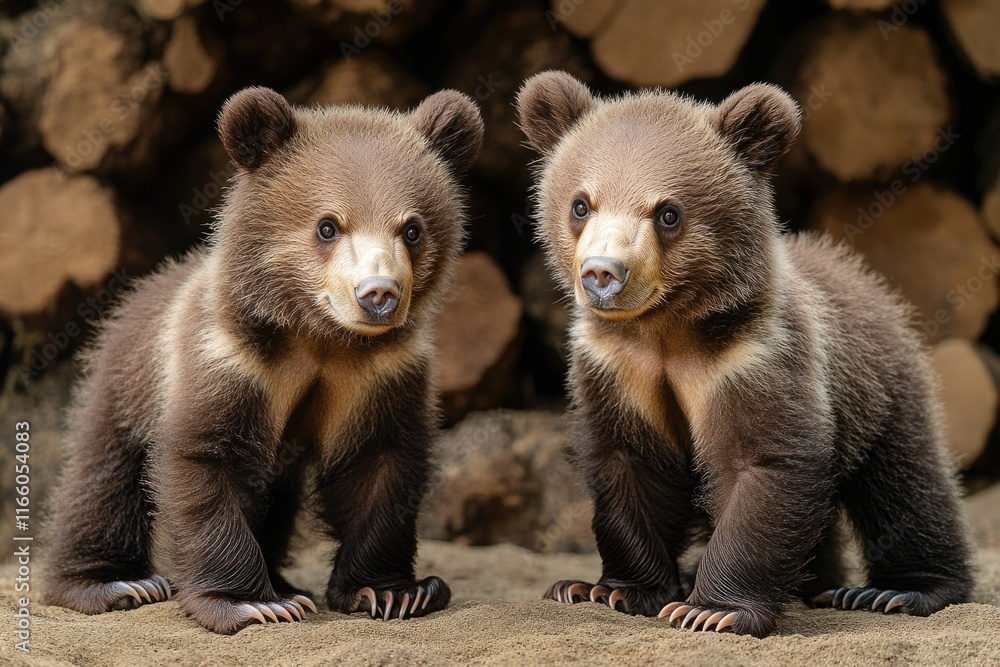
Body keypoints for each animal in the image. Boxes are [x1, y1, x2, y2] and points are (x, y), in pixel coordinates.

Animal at [44, 86, 484, 634]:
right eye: (327, 226)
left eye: (412, 229)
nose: (378, 294)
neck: (321, 339)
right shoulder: (227, 361)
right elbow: (206, 459)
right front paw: (252, 603)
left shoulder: (383, 375)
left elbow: (380, 463)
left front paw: (397, 591)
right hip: (128, 380)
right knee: (103, 476)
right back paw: (114, 583)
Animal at [515, 70, 972, 638]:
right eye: (581, 203)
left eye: (668, 213)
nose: (602, 273)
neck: (665, 332)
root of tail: (862, 276)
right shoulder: (616, 369)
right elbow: (626, 464)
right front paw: (606, 588)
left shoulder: (754, 359)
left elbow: (765, 464)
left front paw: (710, 609)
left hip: (879, 388)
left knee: (908, 484)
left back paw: (896, 590)